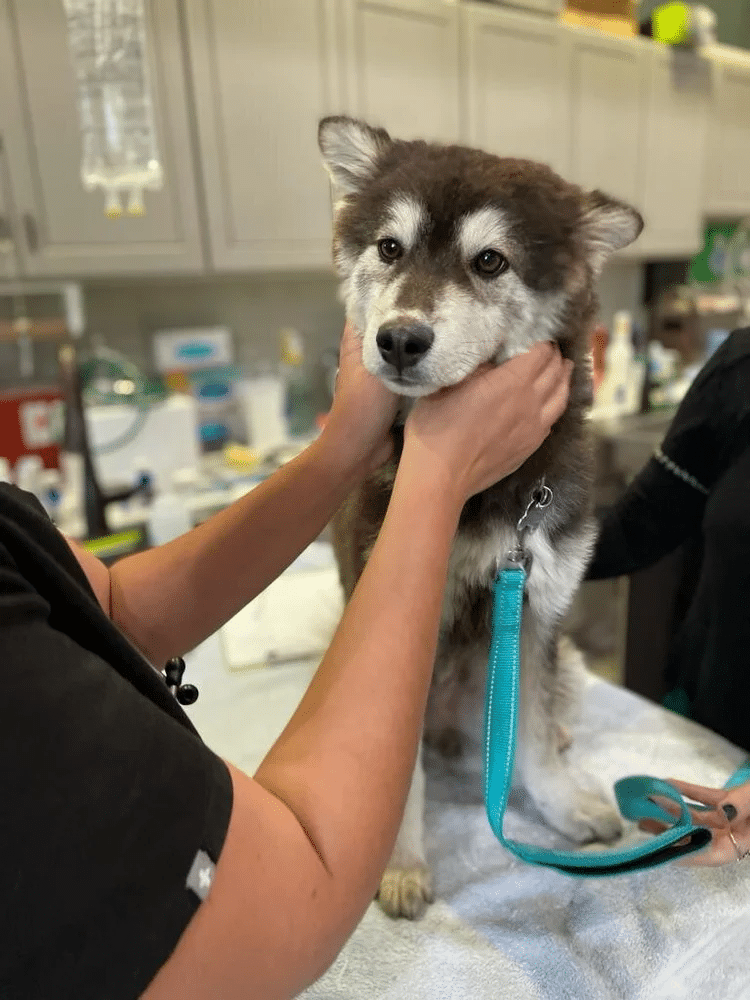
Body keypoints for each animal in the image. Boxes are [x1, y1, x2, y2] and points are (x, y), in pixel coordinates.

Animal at [318, 116, 643, 919]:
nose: (399, 339)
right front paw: (401, 864)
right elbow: (397, 779)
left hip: (567, 663)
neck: (490, 494)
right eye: (390, 248)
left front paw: (563, 807)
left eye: (490, 261)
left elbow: (529, 738)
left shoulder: (534, 610)